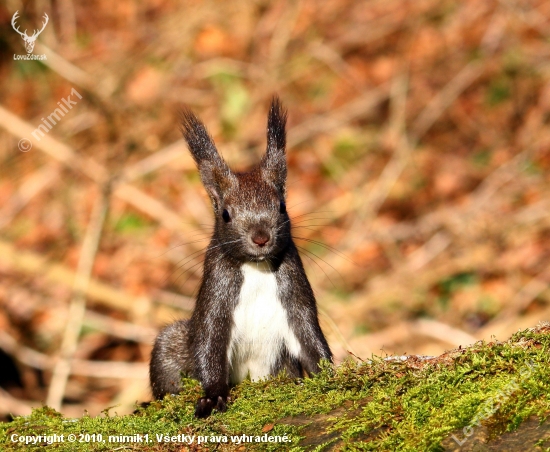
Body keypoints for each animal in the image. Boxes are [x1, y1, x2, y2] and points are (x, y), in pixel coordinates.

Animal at [149, 97, 334, 418]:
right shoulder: (217, 297)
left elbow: (310, 336)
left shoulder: (295, 294)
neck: (256, 268)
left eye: (282, 206)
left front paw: (331, 375)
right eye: (225, 214)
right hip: (170, 345)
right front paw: (213, 397)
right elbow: (210, 345)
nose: (261, 237)